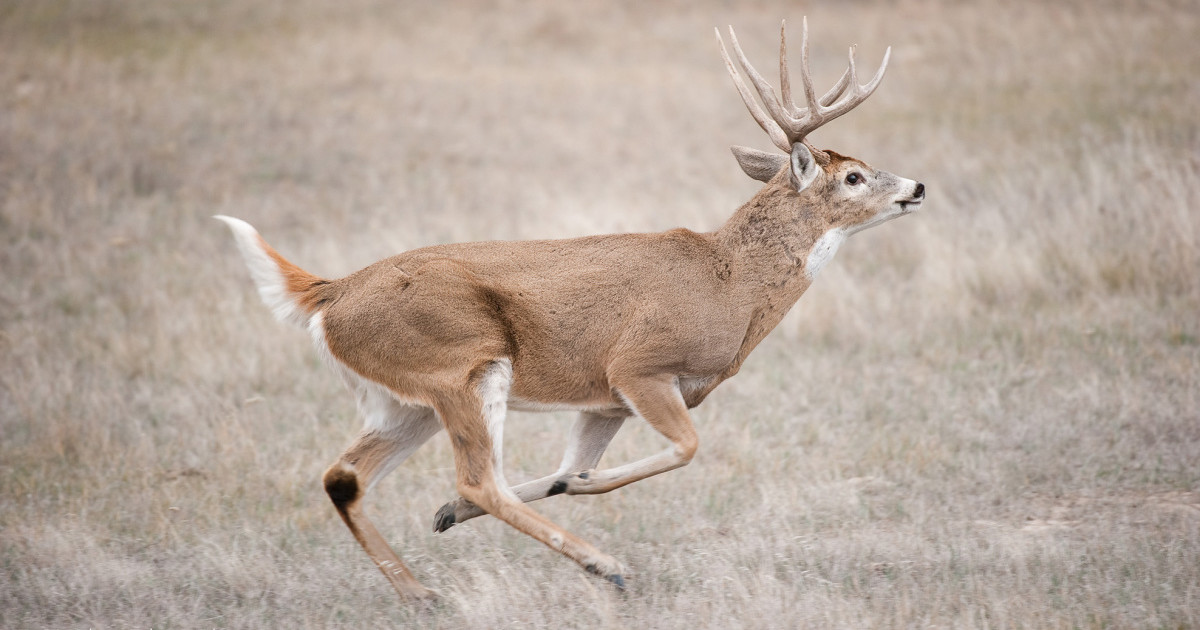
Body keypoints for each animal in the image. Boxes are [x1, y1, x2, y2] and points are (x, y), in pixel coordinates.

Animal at [215, 18, 924, 601]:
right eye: (854, 176)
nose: (918, 186)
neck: (732, 285)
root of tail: (331, 292)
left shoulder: (603, 401)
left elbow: (568, 464)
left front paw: (485, 505)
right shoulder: (638, 367)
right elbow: (685, 447)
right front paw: (571, 499)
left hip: (406, 400)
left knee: (345, 476)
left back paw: (422, 593)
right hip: (463, 363)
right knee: (479, 477)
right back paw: (603, 565)